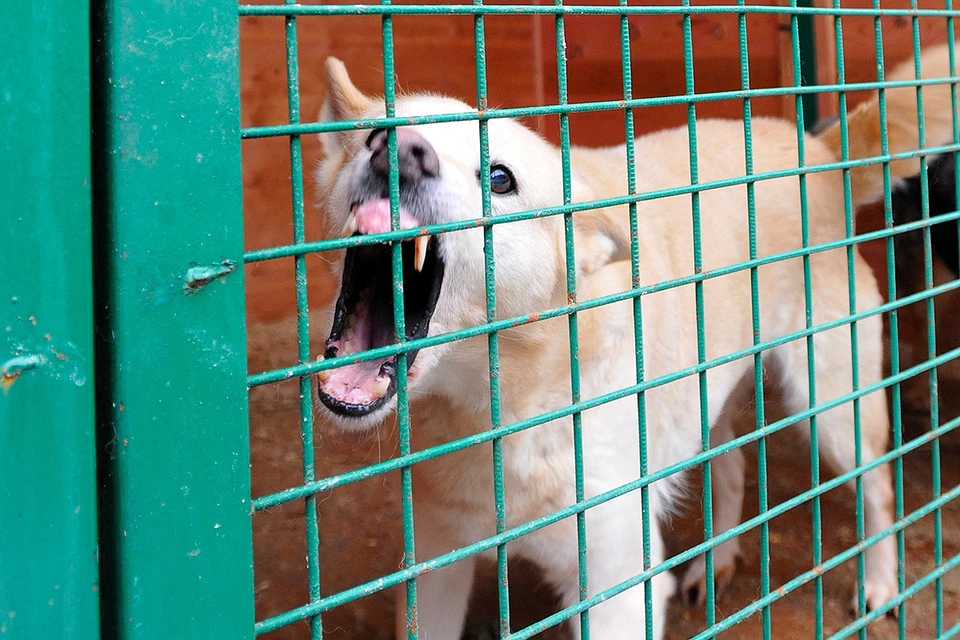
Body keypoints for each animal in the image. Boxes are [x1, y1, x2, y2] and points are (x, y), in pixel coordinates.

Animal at [312, 42, 956, 636]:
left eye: (499, 178)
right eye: (375, 134)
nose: (401, 152)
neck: (503, 407)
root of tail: (819, 155)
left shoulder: (617, 583)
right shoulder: (435, 572)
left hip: (833, 406)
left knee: (878, 488)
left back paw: (880, 584)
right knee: (733, 468)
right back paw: (717, 563)